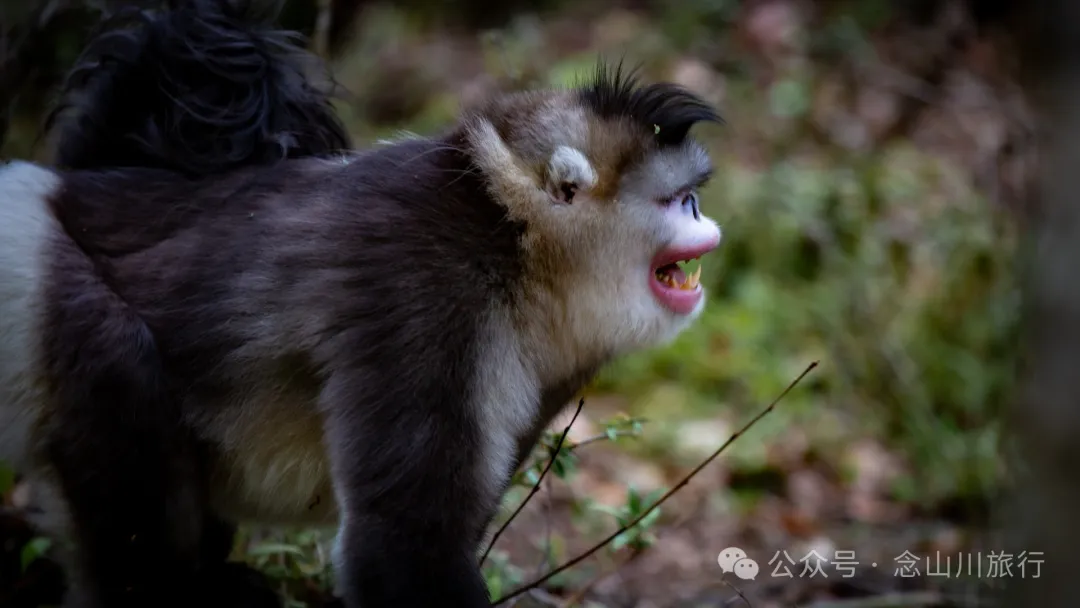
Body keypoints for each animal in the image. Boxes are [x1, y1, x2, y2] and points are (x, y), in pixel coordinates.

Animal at [0, 1, 724, 607]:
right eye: (674, 202)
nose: (704, 222)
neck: (513, 244)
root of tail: (71, 188)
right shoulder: (424, 297)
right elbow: (400, 544)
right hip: (35, 278)